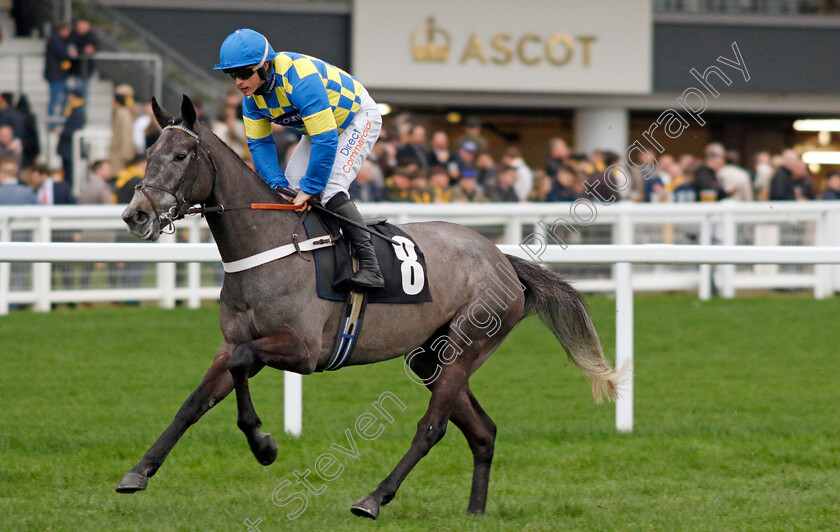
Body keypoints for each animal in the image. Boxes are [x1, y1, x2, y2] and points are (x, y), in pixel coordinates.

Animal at [120, 95, 624, 520]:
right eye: (148, 153)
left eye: (180, 156)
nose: (135, 214)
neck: (270, 244)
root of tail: (503, 259)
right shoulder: (234, 342)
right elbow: (194, 402)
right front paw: (138, 471)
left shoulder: (303, 349)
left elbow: (244, 364)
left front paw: (264, 444)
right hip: (432, 357)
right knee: (483, 431)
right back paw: (475, 511)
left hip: (467, 344)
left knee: (432, 427)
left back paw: (374, 498)